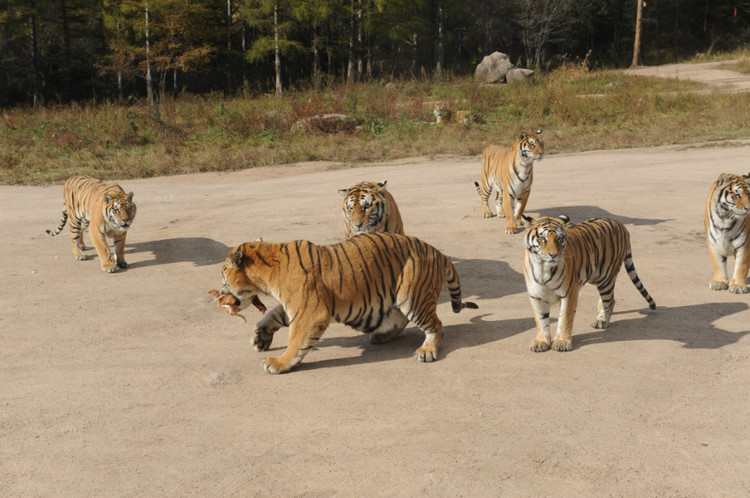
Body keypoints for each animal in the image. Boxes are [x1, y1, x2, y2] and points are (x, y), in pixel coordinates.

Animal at [214, 233, 478, 374]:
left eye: (223, 272)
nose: (220, 292)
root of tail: (438, 252)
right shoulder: (296, 306)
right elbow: (273, 315)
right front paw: (260, 338)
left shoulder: (310, 311)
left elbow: (295, 341)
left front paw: (278, 363)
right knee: (400, 320)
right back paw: (381, 336)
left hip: (412, 296)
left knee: (436, 325)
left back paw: (427, 351)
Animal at [524, 216, 656, 352]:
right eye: (542, 238)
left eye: (559, 238)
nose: (554, 255)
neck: (543, 268)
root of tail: (620, 224)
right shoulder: (536, 295)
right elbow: (541, 320)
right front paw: (541, 342)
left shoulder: (569, 292)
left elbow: (565, 318)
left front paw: (562, 342)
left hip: (605, 277)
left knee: (610, 300)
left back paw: (602, 320)